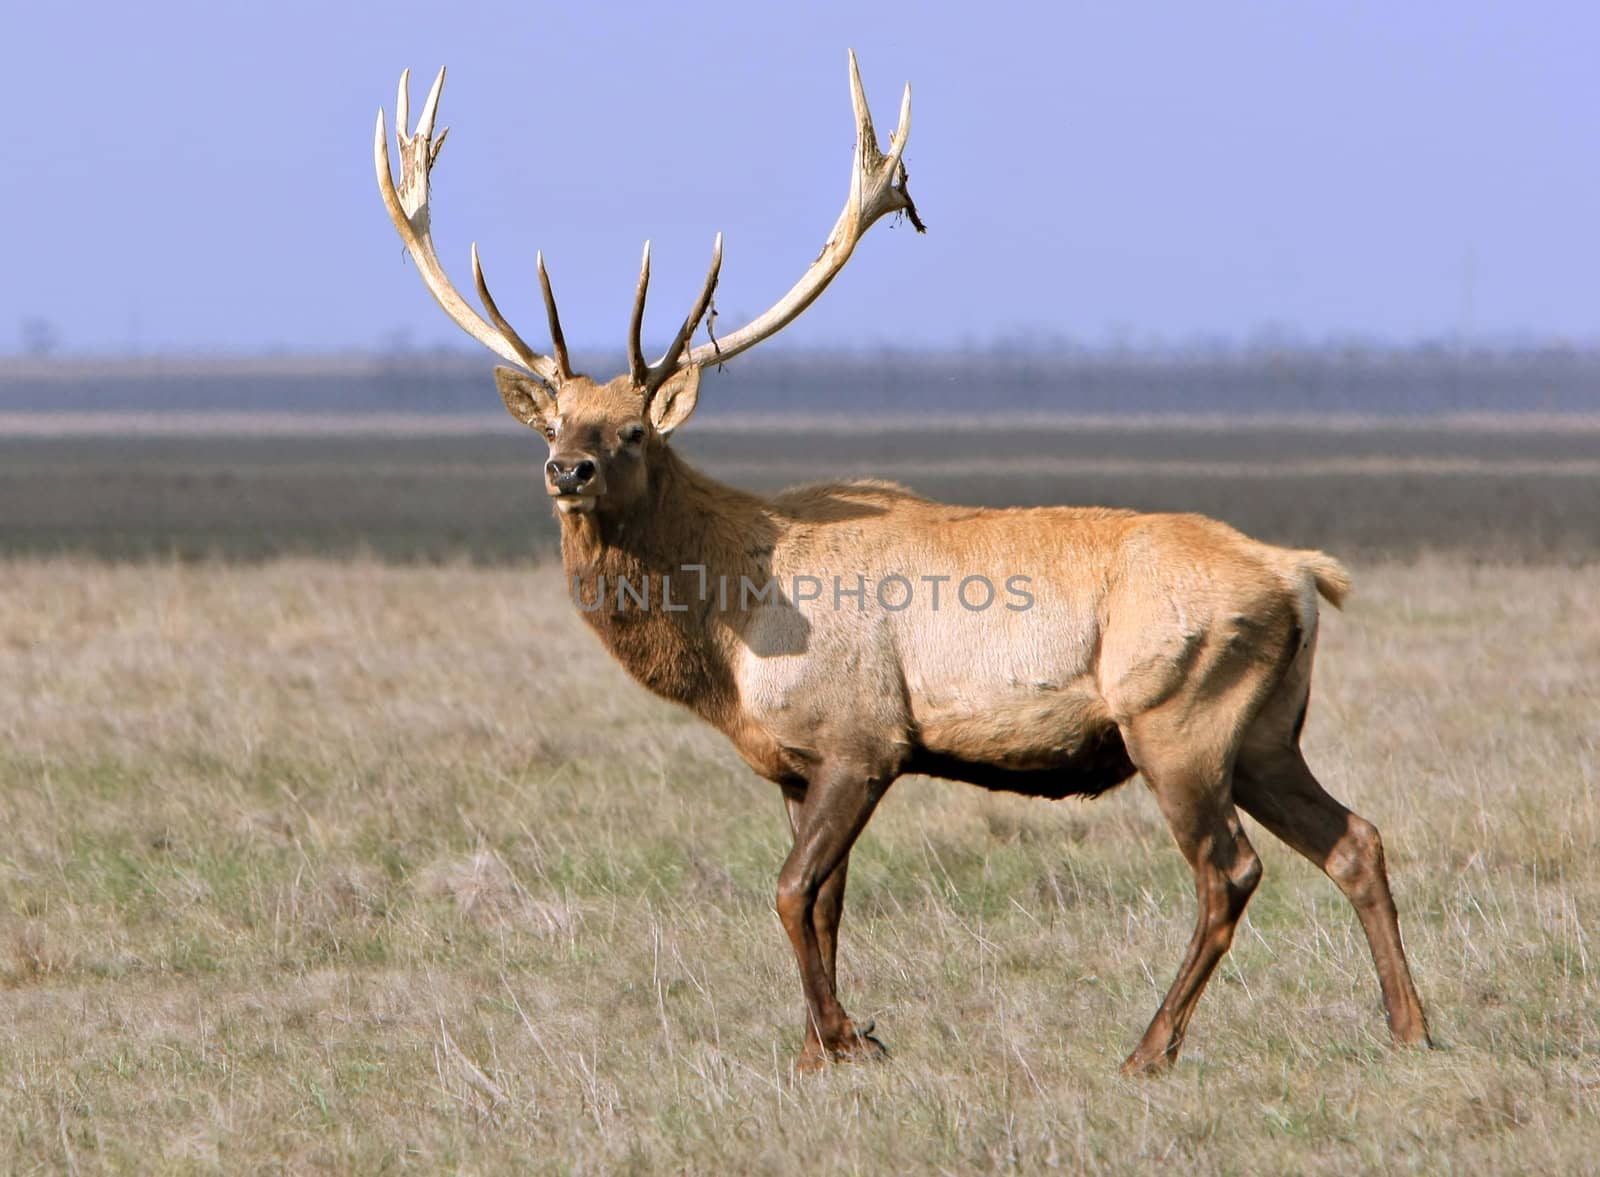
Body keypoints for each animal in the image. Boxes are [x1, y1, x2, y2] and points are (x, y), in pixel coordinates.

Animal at [377, 52, 1440, 1074]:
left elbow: (791, 890)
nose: (570, 470)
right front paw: (820, 1046)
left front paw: (845, 1039)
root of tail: (1301, 575)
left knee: (1228, 870)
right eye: (555, 420)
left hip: (1177, 714)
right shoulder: (797, 763)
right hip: (1264, 732)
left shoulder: (866, 737)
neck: (729, 638)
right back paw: (1409, 1027)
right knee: (1355, 839)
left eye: (634, 429)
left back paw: (1148, 1048)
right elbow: (826, 900)